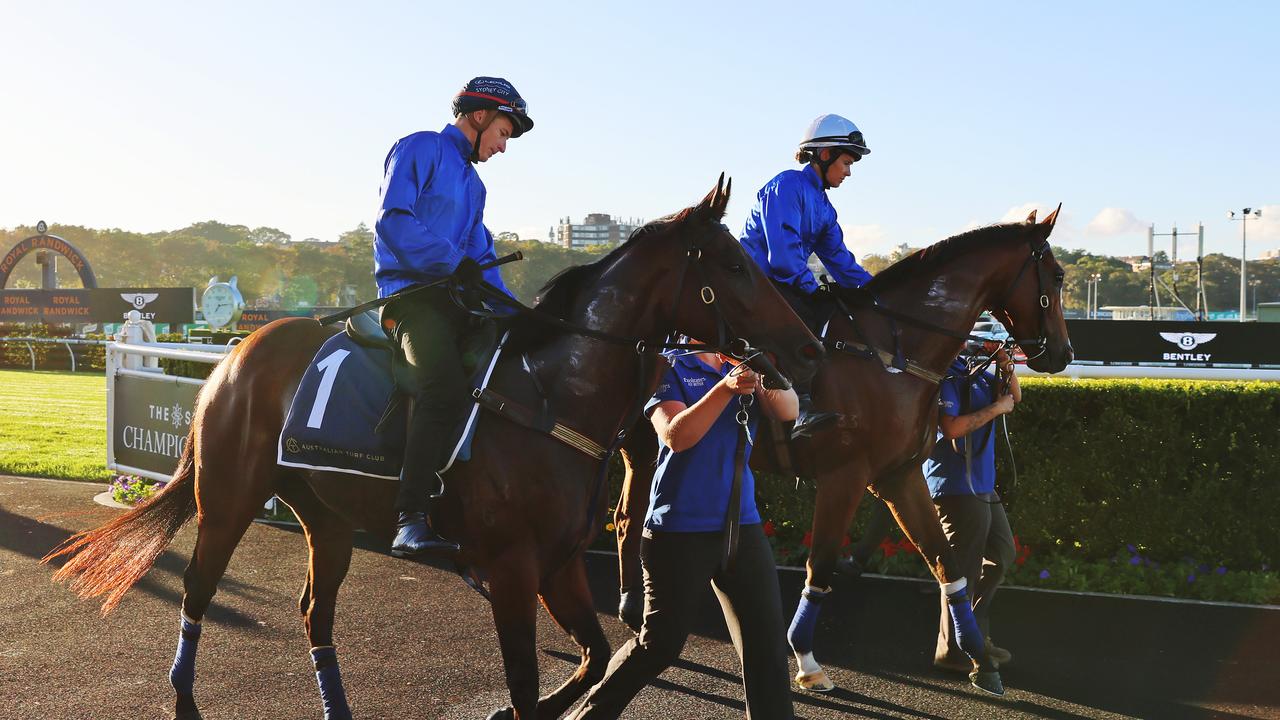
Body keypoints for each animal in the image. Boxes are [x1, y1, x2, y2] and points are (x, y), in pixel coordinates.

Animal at [45, 175, 824, 717]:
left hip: (325, 515)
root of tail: (235, 354)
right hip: (228, 498)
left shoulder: (559, 563)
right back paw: (183, 697)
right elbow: (530, 682)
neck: (550, 395)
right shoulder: (510, 570)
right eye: (735, 267)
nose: (809, 349)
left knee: (314, 613)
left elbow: (596, 656)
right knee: (198, 592)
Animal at [614, 206, 1075, 691]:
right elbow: (821, 565)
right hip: (646, 444)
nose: (1063, 352)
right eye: (1057, 275)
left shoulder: (900, 475)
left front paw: (979, 657)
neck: (893, 356)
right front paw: (804, 656)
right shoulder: (845, 475)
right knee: (629, 518)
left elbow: (947, 563)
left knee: (626, 517)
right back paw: (633, 609)